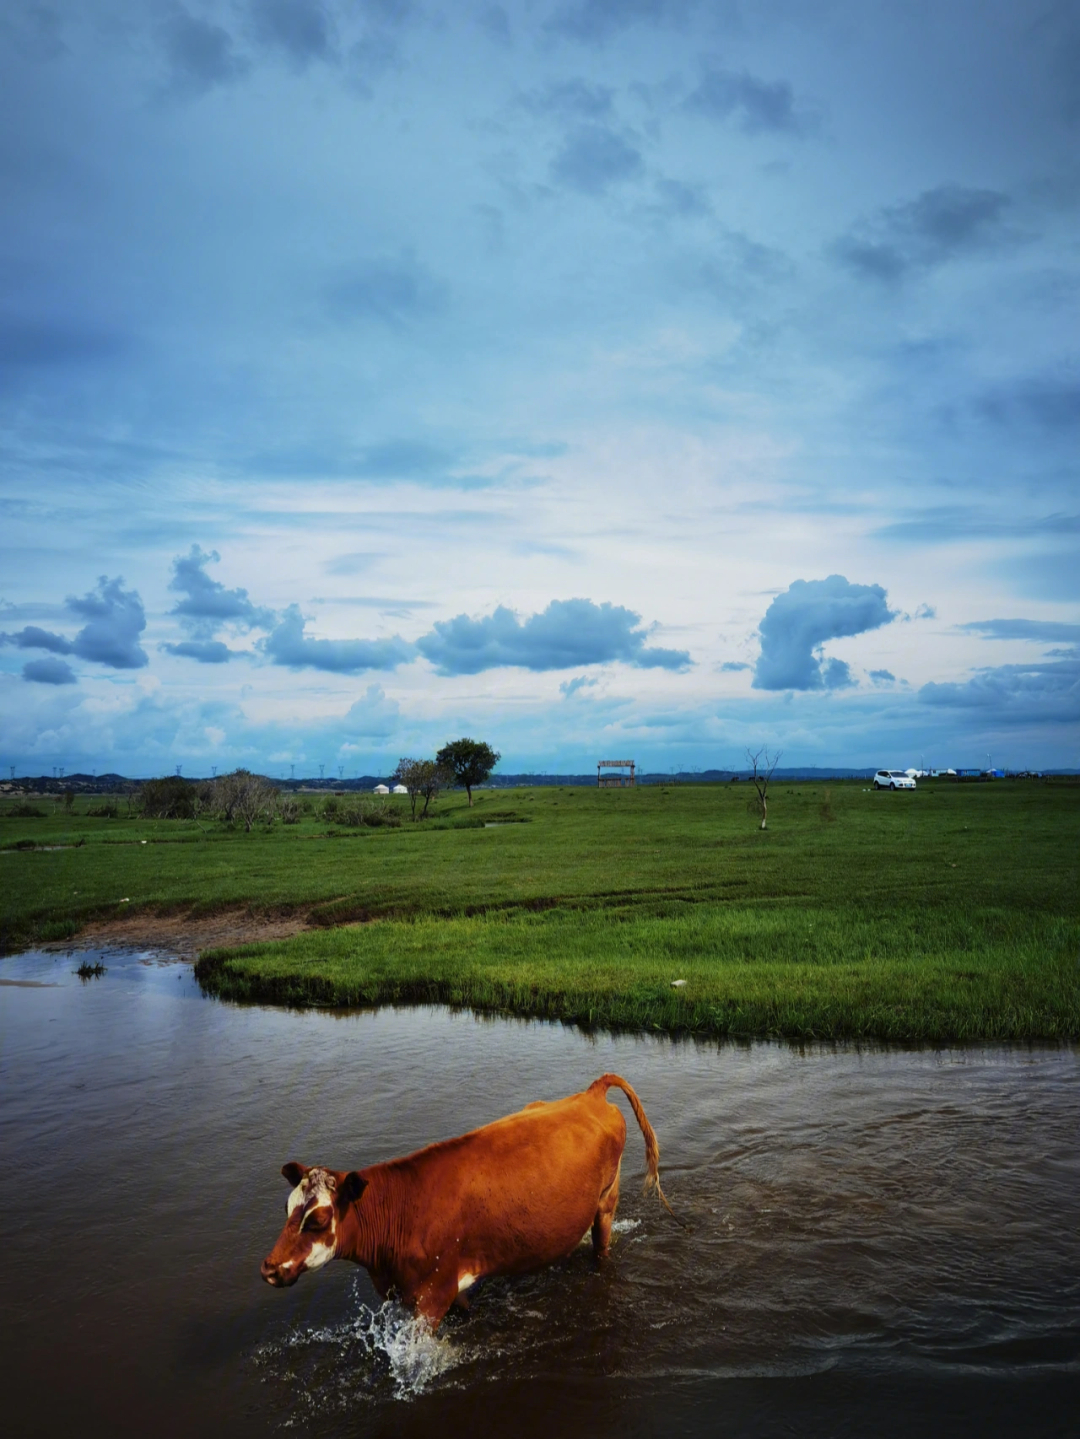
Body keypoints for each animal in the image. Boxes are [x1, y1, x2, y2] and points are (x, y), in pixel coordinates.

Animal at [261, 1070, 667, 1323]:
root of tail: (590, 1094)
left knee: (602, 1244)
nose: (268, 1269)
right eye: (287, 1208)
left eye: (318, 1219)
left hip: (606, 1200)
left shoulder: (433, 1296)